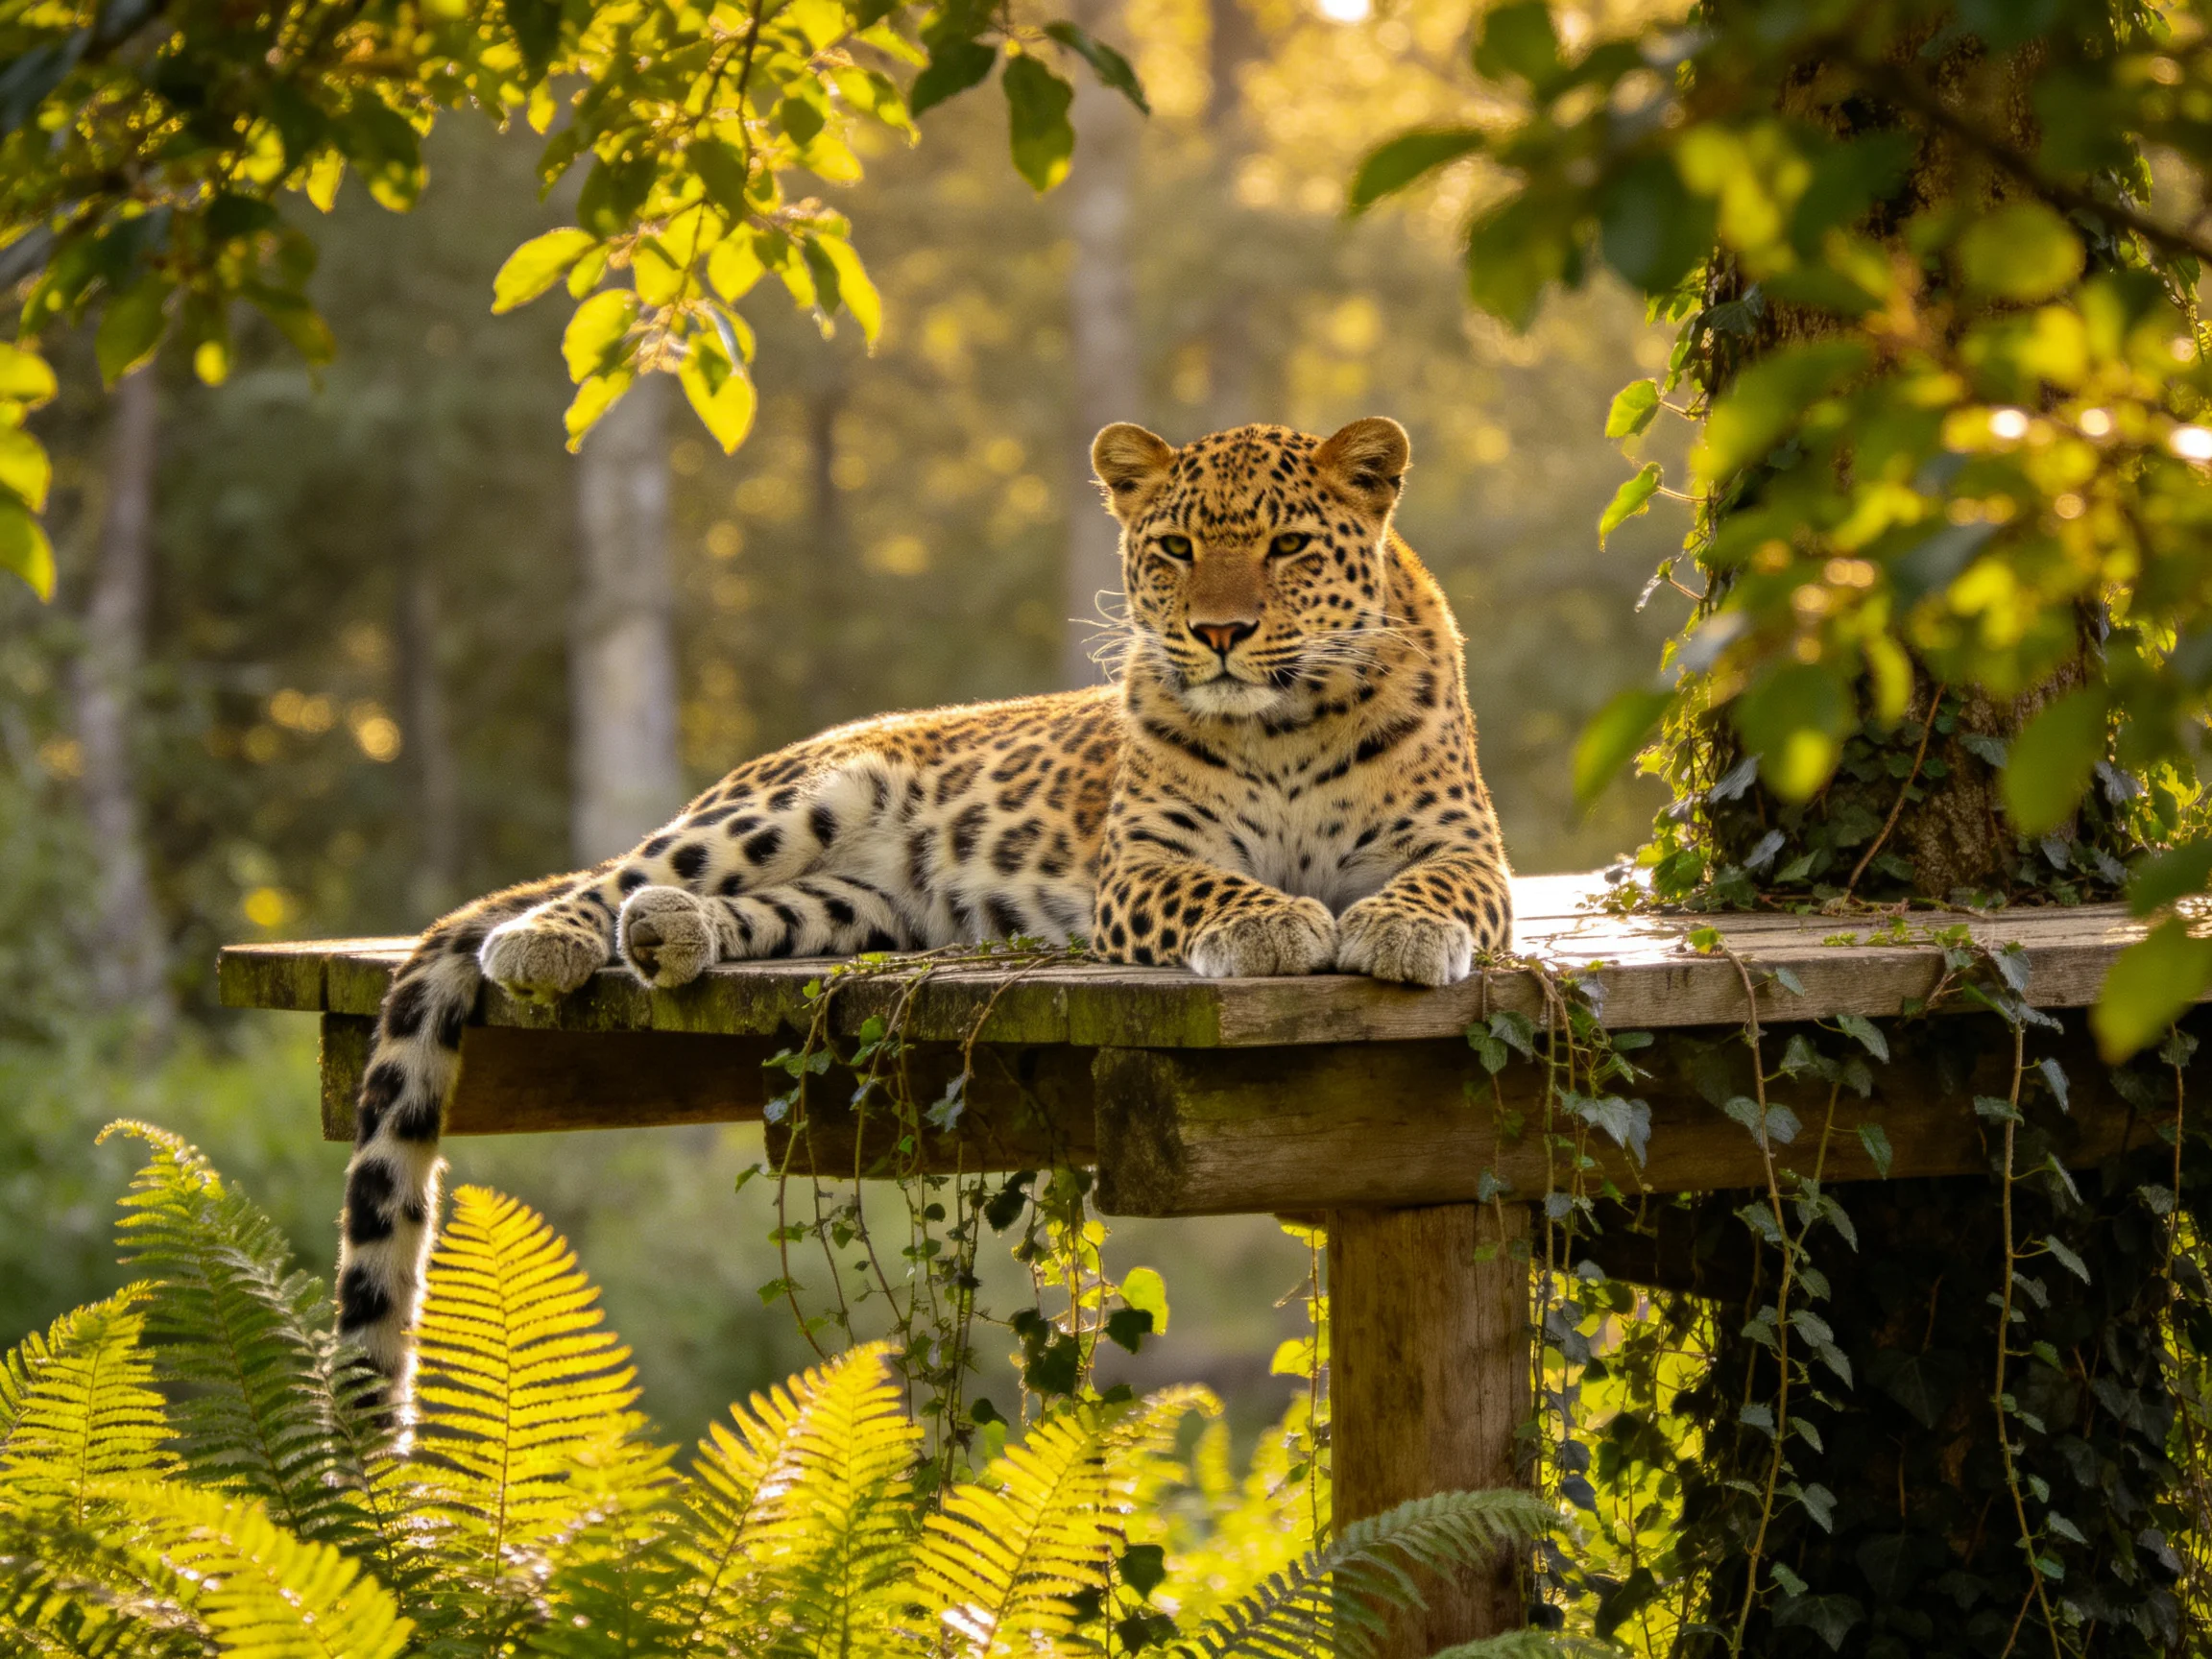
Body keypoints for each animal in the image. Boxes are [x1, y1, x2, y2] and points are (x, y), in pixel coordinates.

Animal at [335, 414, 1515, 1405]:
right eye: (1177, 548)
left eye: (1287, 547)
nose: (1220, 633)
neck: (1285, 726)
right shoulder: (1142, 863)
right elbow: (1215, 885)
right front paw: (1278, 922)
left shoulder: (1469, 851)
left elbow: (1435, 889)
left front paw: (1400, 930)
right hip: (792, 804)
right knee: (608, 876)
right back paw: (550, 938)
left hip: (857, 910)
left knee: (741, 910)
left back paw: (672, 935)